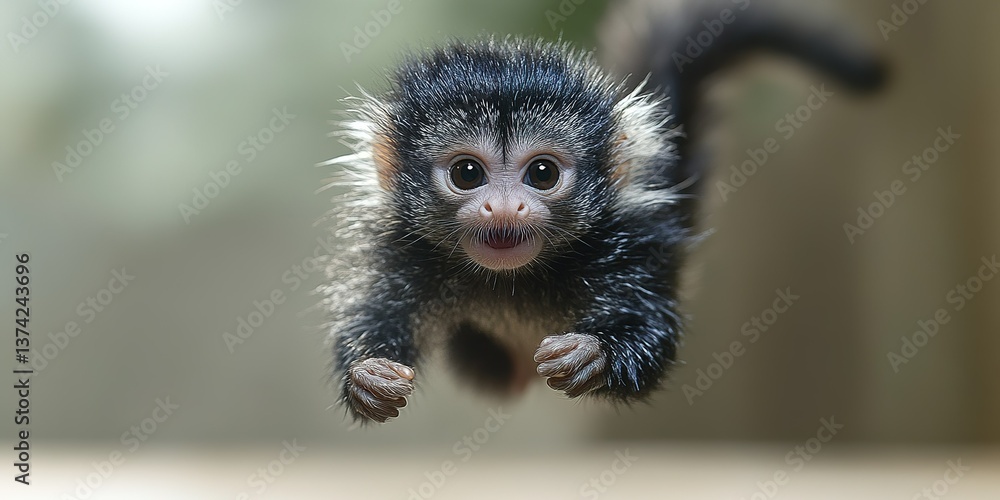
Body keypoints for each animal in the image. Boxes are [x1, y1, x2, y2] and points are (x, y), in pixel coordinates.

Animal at [321, 0, 887, 423]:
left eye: (542, 173)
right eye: (466, 173)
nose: (502, 205)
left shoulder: (629, 242)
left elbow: (650, 332)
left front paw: (597, 355)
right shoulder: (402, 250)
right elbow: (378, 318)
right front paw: (368, 375)